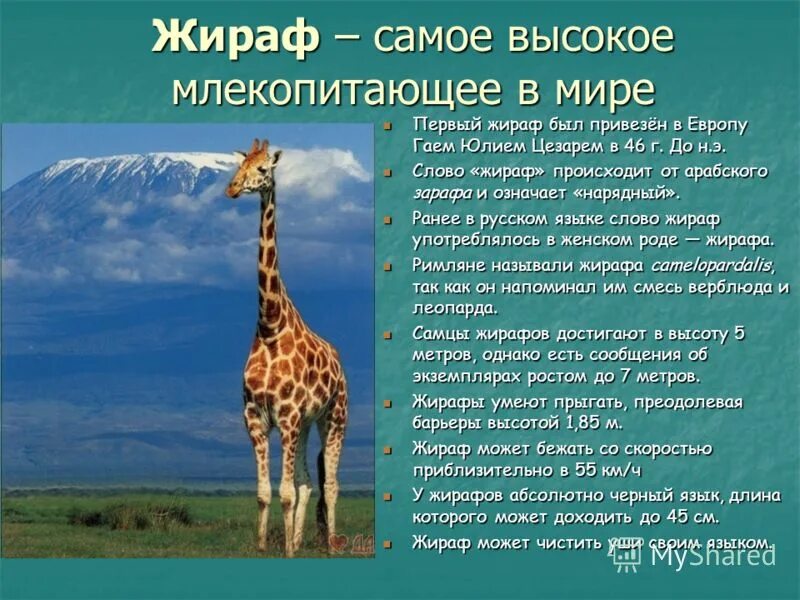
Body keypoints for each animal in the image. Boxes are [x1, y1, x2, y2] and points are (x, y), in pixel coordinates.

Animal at [226, 139, 348, 558]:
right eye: (240, 165)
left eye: (263, 169)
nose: (232, 189)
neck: (270, 326)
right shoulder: (256, 417)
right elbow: (266, 492)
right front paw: (266, 546)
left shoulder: (289, 416)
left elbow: (285, 493)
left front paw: (287, 552)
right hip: (308, 423)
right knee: (308, 481)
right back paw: (296, 540)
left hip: (334, 418)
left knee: (330, 483)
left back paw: (329, 545)